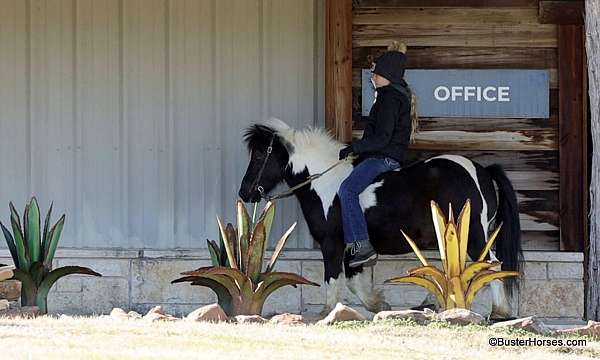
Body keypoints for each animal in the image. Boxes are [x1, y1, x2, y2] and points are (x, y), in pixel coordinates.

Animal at [237, 118, 516, 318]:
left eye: (260, 155)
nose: (245, 193)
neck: (324, 182)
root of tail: (481, 171)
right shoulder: (353, 250)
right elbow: (354, 282)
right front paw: (379, 305)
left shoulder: (331, 244)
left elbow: (333, 278)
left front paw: (328, 312)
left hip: (472, 235)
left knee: (492, 265)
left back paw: (499, 312)